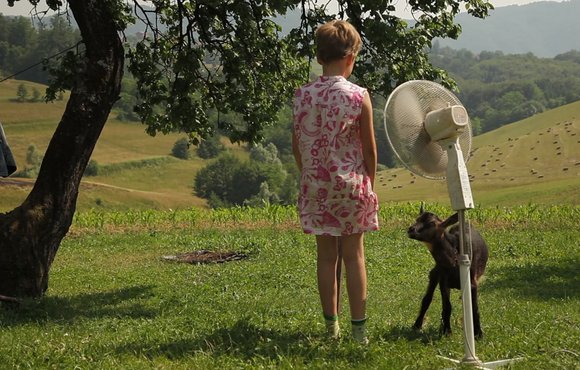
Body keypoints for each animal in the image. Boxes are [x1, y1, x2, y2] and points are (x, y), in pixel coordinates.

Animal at [408, 208, 490, 338]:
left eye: (432, 223)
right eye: (417, 219)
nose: (411, 229)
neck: (453, 260)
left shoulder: (472, 282)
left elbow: (474, 308)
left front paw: (478, 333)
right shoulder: (444, 281)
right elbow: (447, 306)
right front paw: (447, 331)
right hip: (435, 273)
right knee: (427, 298)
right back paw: (417, 324)